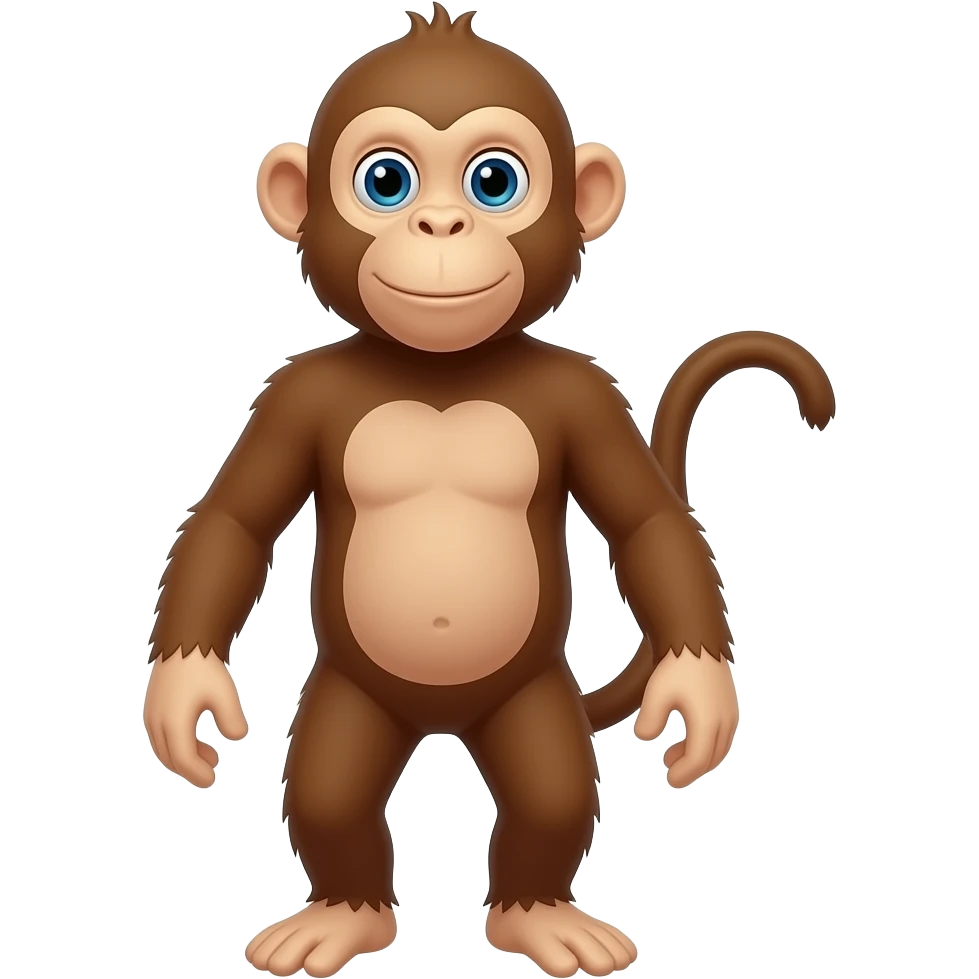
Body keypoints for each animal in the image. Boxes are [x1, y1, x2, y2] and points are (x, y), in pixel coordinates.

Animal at [142, 6, 836, 978]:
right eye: (385, 180)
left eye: (494, 180)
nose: (440, 223)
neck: (443, 370)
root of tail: (441, 716)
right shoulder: (291, 394)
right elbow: (233, 520)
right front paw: (185, 695)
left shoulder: (587, 395)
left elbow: (646, 521)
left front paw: (697, 695)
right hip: (353, 691)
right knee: (328, 791)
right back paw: (342, 915)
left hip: (532, 691)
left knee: (551, 791)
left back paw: (539, 916)